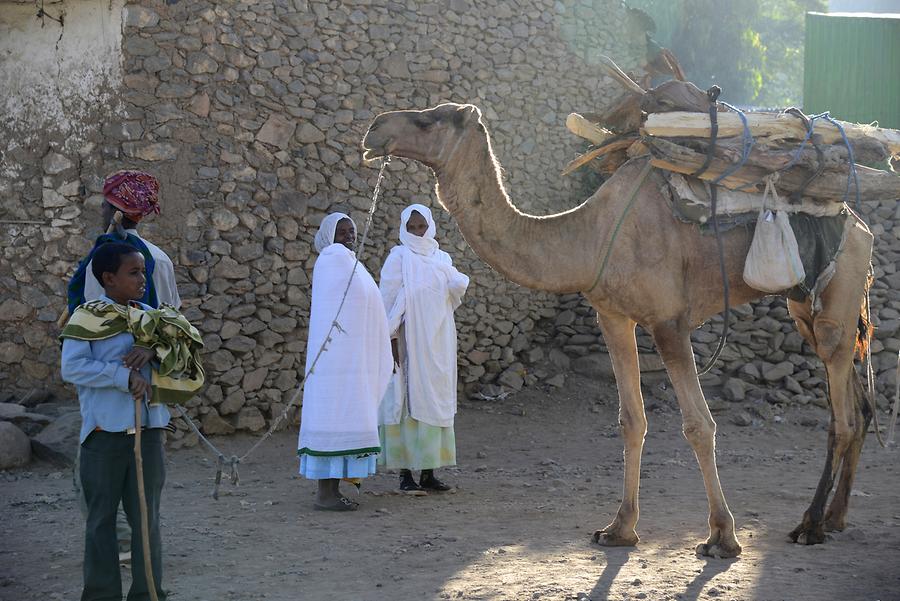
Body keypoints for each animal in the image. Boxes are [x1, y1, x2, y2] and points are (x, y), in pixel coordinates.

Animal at [362, 103, 876, 556]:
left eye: (430, 118)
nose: (373, 129)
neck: (588, 236)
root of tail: (860, 224)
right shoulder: (613, 316)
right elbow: (631, 420)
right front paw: (619, 529)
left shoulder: (669, 321)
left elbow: (698, 425)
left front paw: (721, 537)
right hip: (807, 307)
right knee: (856, 400)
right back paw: (835, 518)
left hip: (836, 296)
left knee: (842, 417)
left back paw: (810, 525)